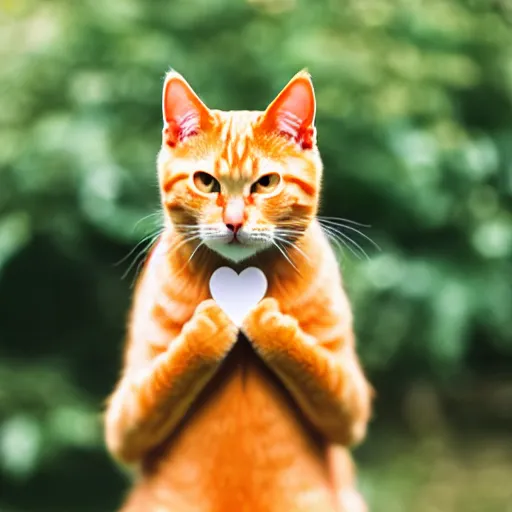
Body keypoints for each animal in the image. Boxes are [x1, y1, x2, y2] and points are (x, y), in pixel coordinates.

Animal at [105, 69, 372, 512]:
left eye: (266, 183)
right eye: (205, 182)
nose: (233, 222)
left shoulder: (350, 405)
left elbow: (315, 363)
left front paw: (265, 319)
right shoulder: (124, 418)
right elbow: (164, 376)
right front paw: (210, 327)